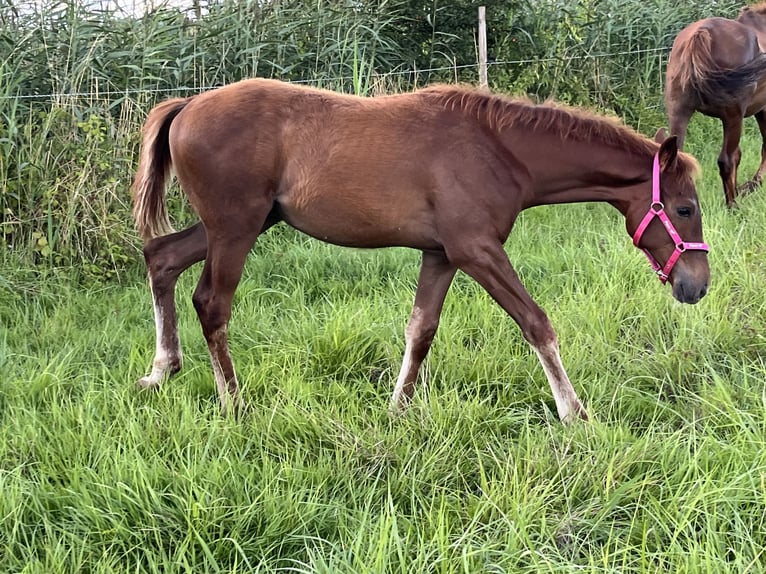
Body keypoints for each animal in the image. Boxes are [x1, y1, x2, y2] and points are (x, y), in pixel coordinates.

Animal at [134, 79, 712, 426]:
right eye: (684, 208)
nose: (697, 285)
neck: (499, 149)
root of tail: (187, 105)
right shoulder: (476, 250)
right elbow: (536, 322)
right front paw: (575, 413)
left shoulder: (441, 254)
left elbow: (421, 330)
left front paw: (398, 409)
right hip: (236, 228)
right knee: (212, 304)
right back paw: (234, 404)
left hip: (237, 224)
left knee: (161, 257)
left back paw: (162, 369)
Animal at [664, 2, 766, 207]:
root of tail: (700, 35)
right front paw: (752, 185)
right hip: (733, 117)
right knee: (726, 160)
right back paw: (733, 206)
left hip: (678, 112)